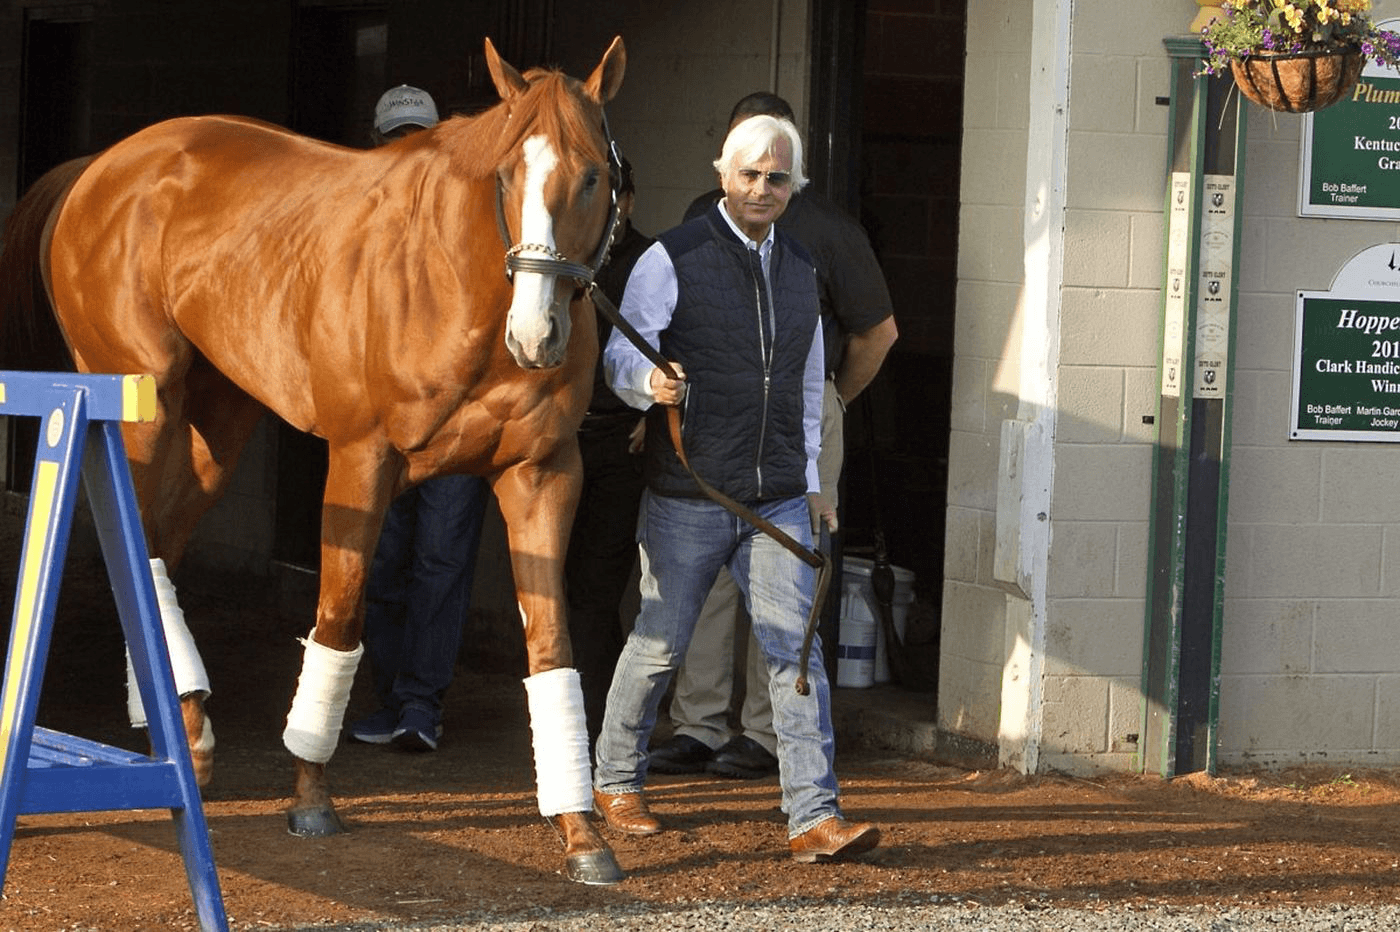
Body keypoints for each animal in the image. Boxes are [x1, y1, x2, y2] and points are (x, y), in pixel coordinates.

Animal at [0, 38, 627, 878]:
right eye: (505, 176)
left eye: (591, 173)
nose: (536, 335)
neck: (455, 288)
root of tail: (101, 166)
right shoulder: (361, 459)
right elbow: (339, 617)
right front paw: (310, 795)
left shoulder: (543, 474)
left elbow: (552, 644)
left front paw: (581, 831)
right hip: (141, 404)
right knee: (136, 543)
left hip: (219, 422)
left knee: (158, 543)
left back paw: (184, 724)